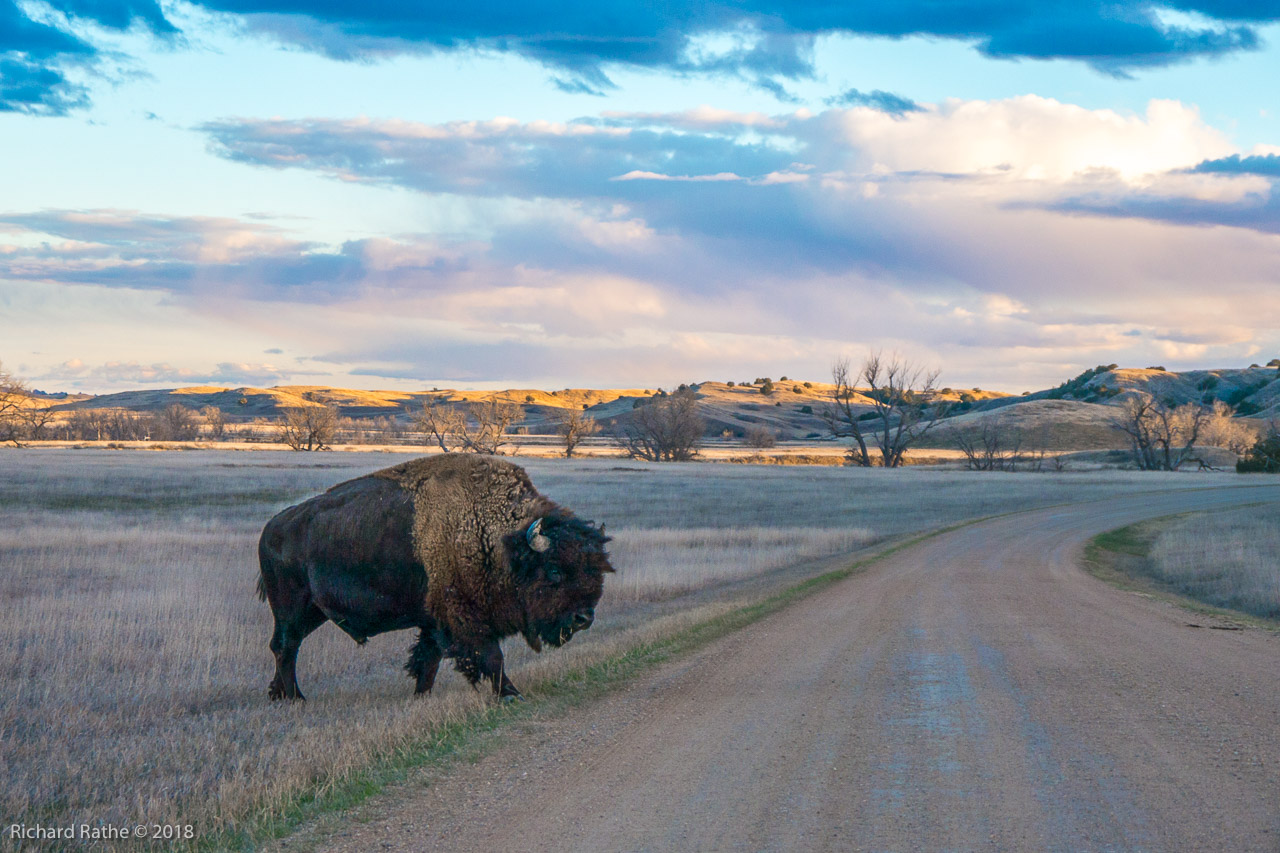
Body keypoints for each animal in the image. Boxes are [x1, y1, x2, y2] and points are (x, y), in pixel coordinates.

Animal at [257, 454, 613, 701]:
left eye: (594, 569)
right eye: (554, 570)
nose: (584, 617)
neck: (500, 540)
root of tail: (271, 527)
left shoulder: (434, 620)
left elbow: (429, 659)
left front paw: (421, 695)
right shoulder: (464, 618)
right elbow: (491, 657)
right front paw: (512, 695)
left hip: (312, 612)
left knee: (284, 646)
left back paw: (279, 694)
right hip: (292, 608)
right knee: (285, 647)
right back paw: (296, 698)